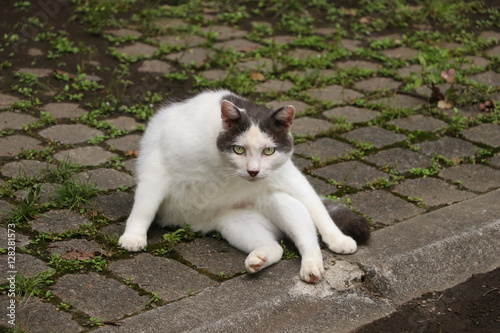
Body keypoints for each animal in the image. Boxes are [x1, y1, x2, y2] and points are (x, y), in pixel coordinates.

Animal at [116, 89, 368, 282]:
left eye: (269, 150)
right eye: (239, 149)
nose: (253, 171)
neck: (223, 167)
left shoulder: (289, 176)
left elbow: (318, 209)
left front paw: (338, 239)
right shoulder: (156, 167)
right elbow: (144, 207)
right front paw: (134, 237)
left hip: (282, 202)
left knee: (308, 239)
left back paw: (312, 269)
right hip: (236, 224)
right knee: (276, 247)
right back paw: (259, 260)